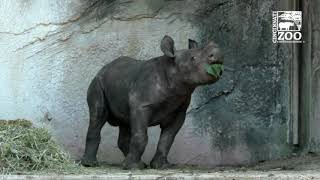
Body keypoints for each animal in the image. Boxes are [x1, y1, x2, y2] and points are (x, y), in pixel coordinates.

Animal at [81, 35, 224, 170]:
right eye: (193, 58)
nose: (218, 54)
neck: (172, 71)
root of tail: (102, 69)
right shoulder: (141, 105)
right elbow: (141, 136)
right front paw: (133, 168)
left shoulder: (179, 109)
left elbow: (167, 138)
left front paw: (161, 166)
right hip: (97, 83)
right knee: (98, 115)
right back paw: (91, 164)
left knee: (125, 123)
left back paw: (135, 163)